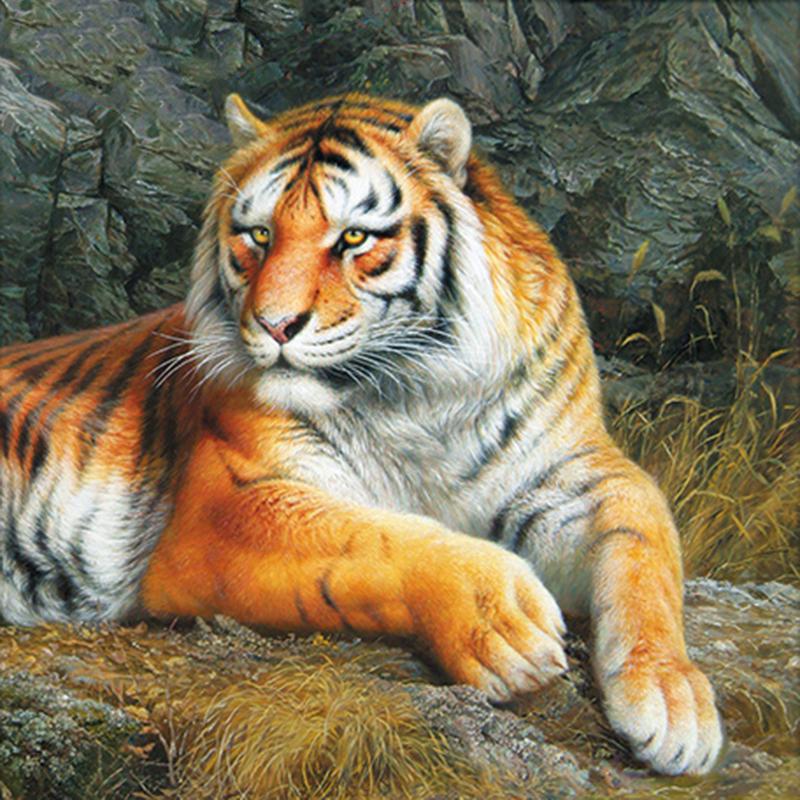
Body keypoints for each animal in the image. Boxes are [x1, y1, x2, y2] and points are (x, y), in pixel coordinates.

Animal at [0, 93, 723, 775]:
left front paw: (673, 699)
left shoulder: (570, 470)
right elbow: (377, 540)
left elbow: (645, 540)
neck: (417, 396)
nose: (274, 324)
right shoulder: (223, 507)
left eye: (352, 239)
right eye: (258, 235)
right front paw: (504, 622)